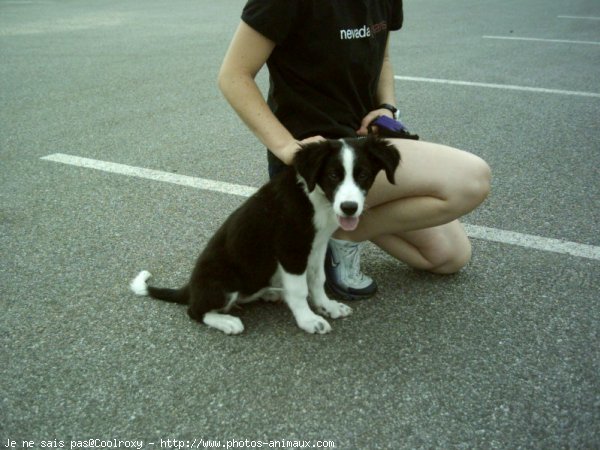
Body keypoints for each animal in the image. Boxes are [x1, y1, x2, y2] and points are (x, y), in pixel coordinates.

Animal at [132, 136, 404, 334]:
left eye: (363, 175)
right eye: (333, 175)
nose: (349, 207)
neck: (315, 198)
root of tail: (190, 287)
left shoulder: (317, 246)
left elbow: (318, 279)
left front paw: (326, 306)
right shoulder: (290, 248)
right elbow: (299, 289)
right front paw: (308, 320)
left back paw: (271, 293)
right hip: (223, 282)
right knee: (195, 311)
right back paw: (226, 321)